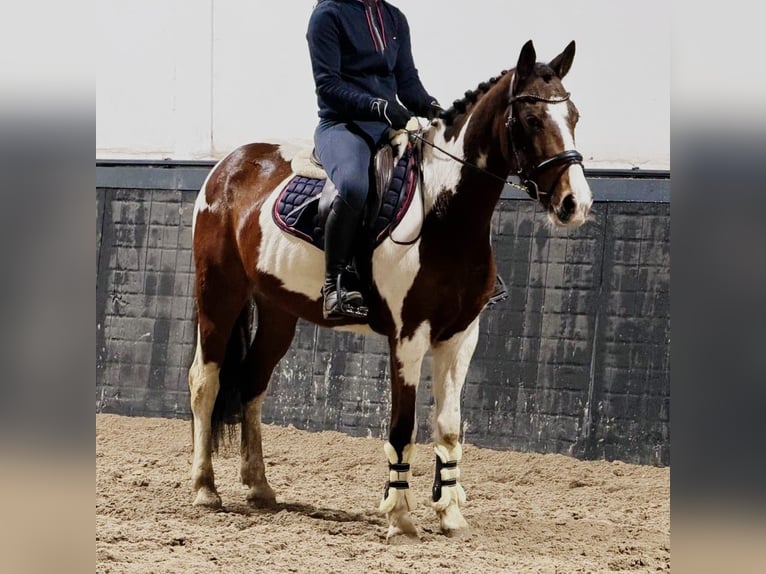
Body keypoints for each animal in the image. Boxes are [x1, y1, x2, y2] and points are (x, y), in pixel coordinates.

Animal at [188, 39, 592, 539]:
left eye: (573, 116)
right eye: (533, 120)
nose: (576, 204)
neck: (445, 215)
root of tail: (228, 166)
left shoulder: (461, 337)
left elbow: (449, 426)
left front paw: (450, 514)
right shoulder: (409, 336)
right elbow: (402, 426)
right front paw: (400, 517)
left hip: (279, 311)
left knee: (252, 385)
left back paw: (260, 487)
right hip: (218, 295)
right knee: (205, 382)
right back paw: (206, 489)